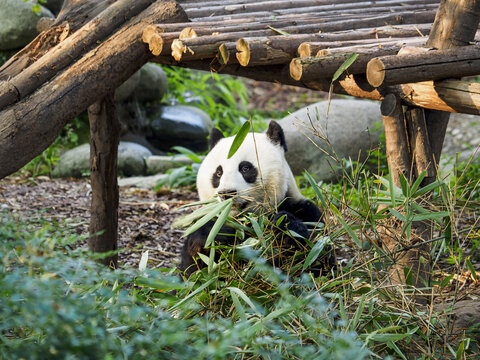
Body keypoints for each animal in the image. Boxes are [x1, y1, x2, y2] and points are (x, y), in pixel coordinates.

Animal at [180, 121, 330, 276]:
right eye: (219, 172)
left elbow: (318, 261)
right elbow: (193, 270)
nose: (227, 193)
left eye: (245, 168)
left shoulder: (305, 211)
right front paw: (213, 233)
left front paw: (284, 226)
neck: (244, 223)